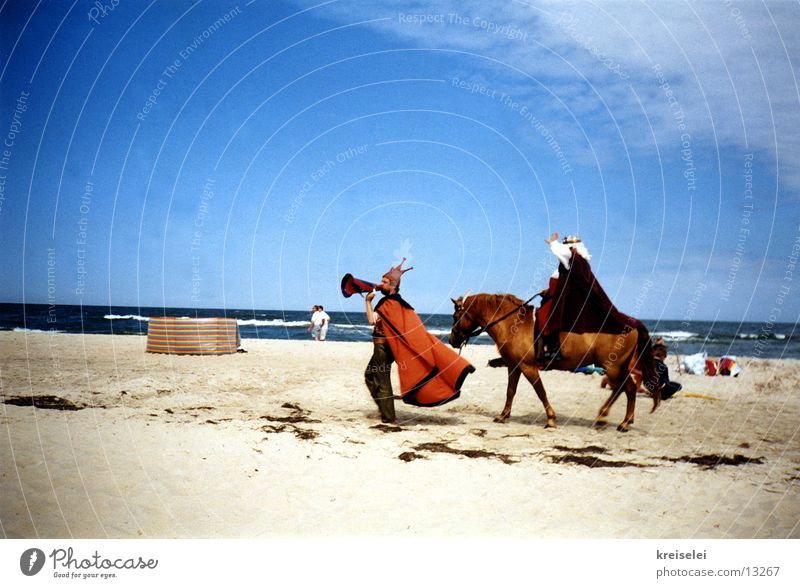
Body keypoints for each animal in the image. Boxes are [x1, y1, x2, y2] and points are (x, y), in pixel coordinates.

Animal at [446, 294, 660, 432]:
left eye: (456, 316)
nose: (452, 340)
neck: (513, 324)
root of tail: (631, 323)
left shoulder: (528, 367)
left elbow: (540, 391)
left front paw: (550, 419)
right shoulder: (514, 366)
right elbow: (510, 391)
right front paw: (503, 415)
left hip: (613, 367)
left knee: (627, 388)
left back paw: (621, 422)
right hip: (616, 367)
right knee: (624, 389)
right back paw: (608, 417)